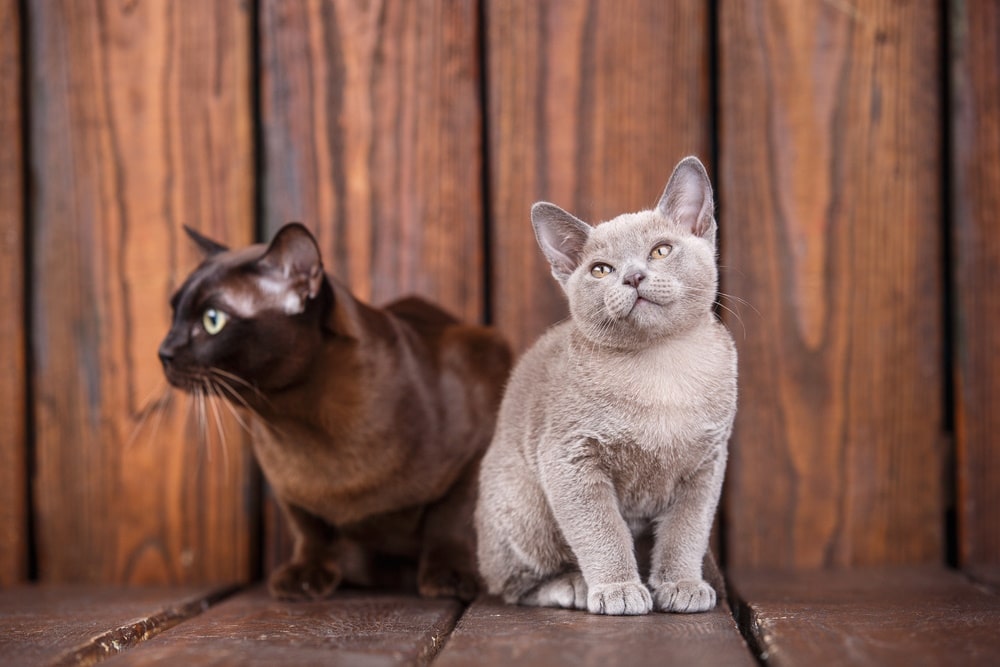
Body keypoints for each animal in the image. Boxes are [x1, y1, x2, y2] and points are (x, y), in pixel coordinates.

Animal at [162, 223, 516, 600]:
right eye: (174, 314)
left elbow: (449, 521)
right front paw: (305, 579)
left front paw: (448, 579)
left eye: (212, 320)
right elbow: (310, 529)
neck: (300, 423)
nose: (163, 352)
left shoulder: (474, 454)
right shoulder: (286, 486)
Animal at [472, 155, 740, 616]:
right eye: (601, 270)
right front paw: (618, 588)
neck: (660, 369)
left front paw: (682, 584)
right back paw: (573, 586)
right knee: (512, 584)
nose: (632, 276)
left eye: (661, 250)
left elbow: (685, 532)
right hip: (524, 508)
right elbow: (603, 531)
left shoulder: (706, 464)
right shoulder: (570, 457)